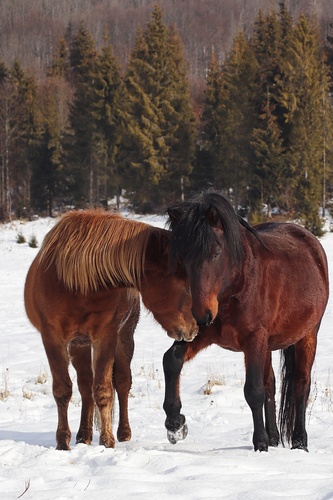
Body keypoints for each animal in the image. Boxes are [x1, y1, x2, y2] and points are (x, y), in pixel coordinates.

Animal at [26, 209, 197, 452]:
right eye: (182, 282)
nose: (194, 329)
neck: (76, 285)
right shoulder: (52, 338)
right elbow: (63, 390)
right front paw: (62, 443)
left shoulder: (105, 336)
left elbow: (104, 389)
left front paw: (107, 441)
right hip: (78, 345)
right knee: (84, 386)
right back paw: (83, 435)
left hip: (123, 338)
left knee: (122, 383)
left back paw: (122, 433)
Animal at [162, 190, 328, 450]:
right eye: (183, 258)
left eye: (215, 254)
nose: (202, 314)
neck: (237, 287)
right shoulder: (205, 334)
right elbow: (171, 360)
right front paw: (175, 424)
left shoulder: (253, 339)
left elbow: (253, 391)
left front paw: (259, 443)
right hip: (268, 345)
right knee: (271, 383)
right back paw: (274, 437)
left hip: (307, 335)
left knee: (301, 384)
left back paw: (299, 442)